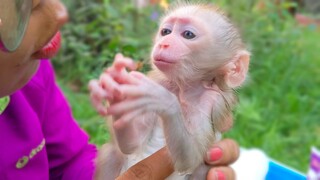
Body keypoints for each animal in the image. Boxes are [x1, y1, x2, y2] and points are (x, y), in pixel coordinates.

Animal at [89, 1, 250, 179]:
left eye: (188, 34)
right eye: (166, 32)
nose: (163, 43)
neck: (183, 89)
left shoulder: (214, 100)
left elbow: (190, 159)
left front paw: (163, 100)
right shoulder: (160, 80)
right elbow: (131, 145)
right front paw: (118, 90)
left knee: (202, 169)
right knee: (111, 152)